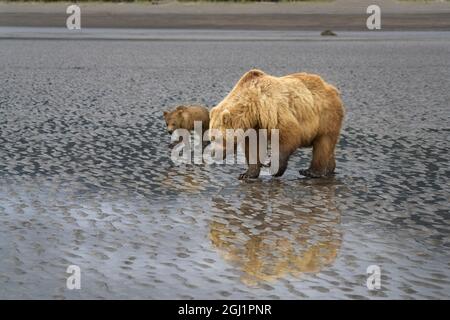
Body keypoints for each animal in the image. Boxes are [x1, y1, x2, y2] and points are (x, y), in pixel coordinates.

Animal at [211, 69, 344, 179]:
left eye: (216, 138)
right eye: (211, 138)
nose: (212, 154)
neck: (253, 108)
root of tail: (332, 89)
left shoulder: (272, 109)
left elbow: (288, 134)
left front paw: (274, 167)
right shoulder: (254, 126)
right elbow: (253, 147)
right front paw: (247, 174)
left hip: (325, 116)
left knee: (323, 144)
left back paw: (311, 172)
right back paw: (329, 169)